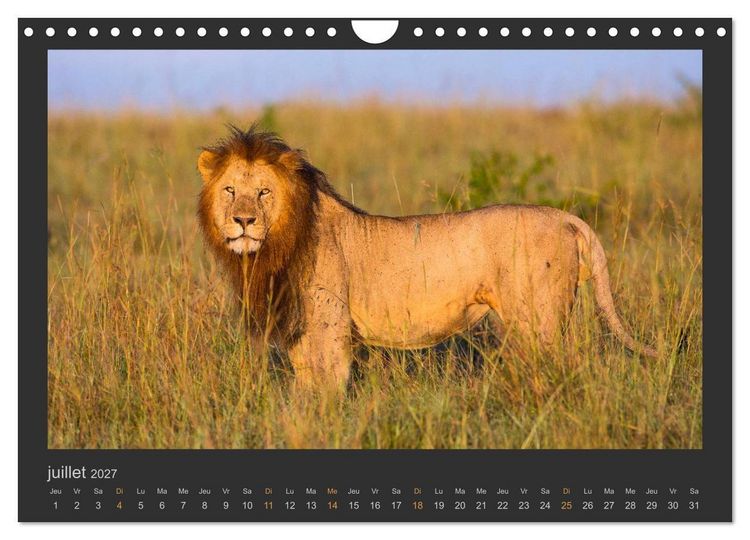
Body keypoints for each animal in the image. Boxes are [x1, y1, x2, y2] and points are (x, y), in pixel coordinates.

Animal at [197, 125, 657, 389]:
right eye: (230, 190)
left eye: (263, 192)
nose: (243, 220)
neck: (272, 249)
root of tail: (565, 217)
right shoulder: (301, 330)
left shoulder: (329, 328)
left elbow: (326, 389)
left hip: (538, 320)